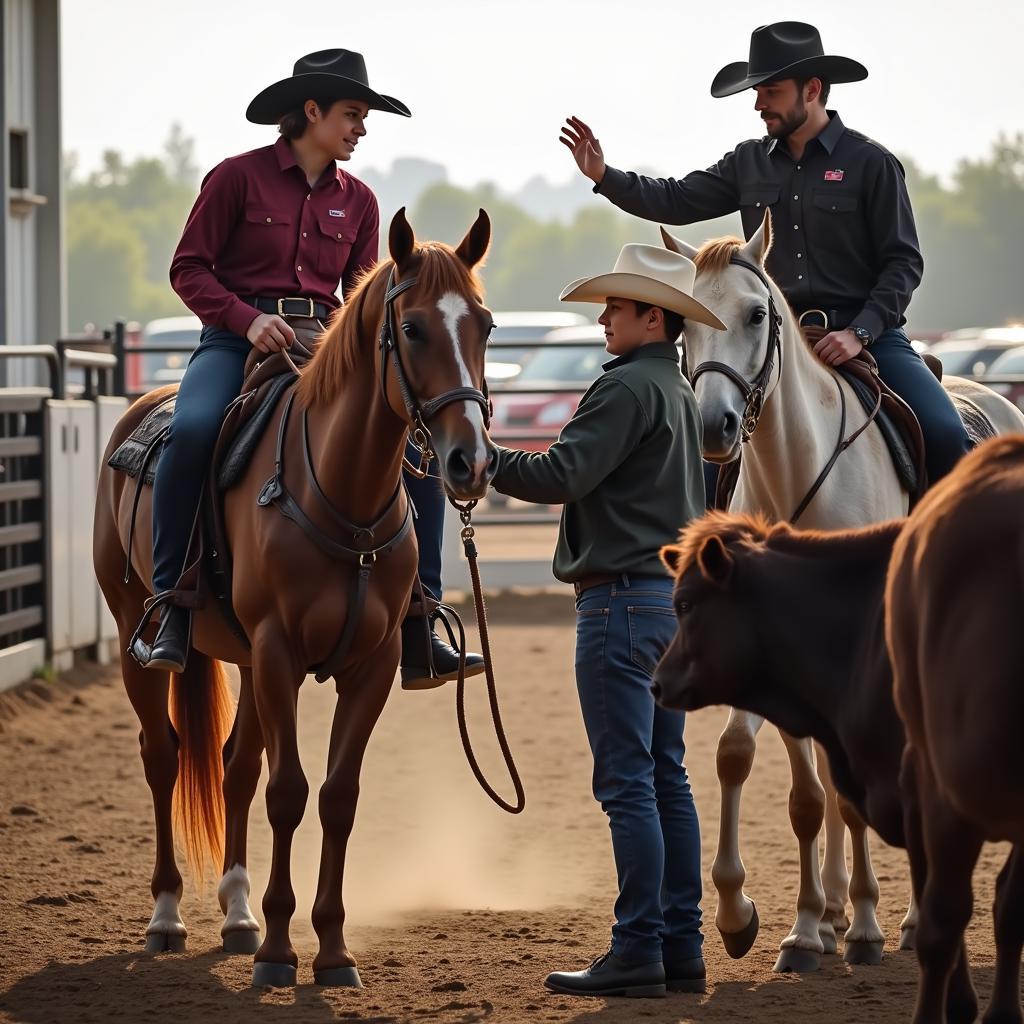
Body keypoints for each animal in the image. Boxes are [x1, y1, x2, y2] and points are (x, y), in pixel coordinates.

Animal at [90, 211, 497, 987]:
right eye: (412, 328)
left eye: (485, 325)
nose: (471, 461)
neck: (341, 494)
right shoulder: (279, 652)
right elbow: (288, 793)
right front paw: (281, 954)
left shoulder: (369, 666)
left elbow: (336, 796)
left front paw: (331, 951)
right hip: (137, 637)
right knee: (163, 756)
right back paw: (168, 917)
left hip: (245, 660)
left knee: (234, 766)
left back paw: (238, 913)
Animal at [663, 211, 1024, 970]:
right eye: (685, 324)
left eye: (756, 313)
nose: (713, 427)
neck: (801, 473)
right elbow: (789, 784)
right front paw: (782, 924)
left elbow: (851, 792)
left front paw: (863, 925)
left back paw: (901, 919)